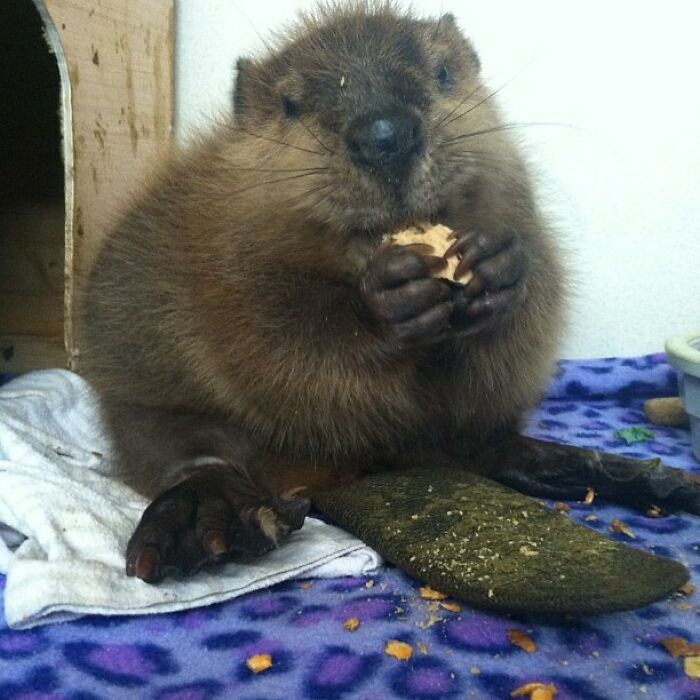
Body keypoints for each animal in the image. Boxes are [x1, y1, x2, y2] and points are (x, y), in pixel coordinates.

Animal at [79, 1, 700, 580]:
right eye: (290, 104)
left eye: (443, 71)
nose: (385, 136)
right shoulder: (218, 249)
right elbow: (277, 342)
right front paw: (390, 303)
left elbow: (533, 300)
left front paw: (498, 265)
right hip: (144, 403)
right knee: (194, 455)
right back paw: (217, 520)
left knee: (486, 445)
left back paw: (627, 475)